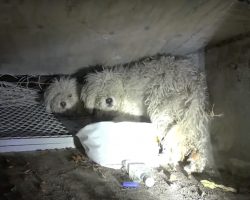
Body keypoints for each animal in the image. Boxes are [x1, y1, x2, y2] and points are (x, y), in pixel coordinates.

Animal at [81, 54, 214, 173]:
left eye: (112, 85)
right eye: (99, 90)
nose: (108, 100)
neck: (124, 87)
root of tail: (195, 83)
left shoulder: (129, 113)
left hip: (161, 106)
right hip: (190, 116)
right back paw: (192, 165)